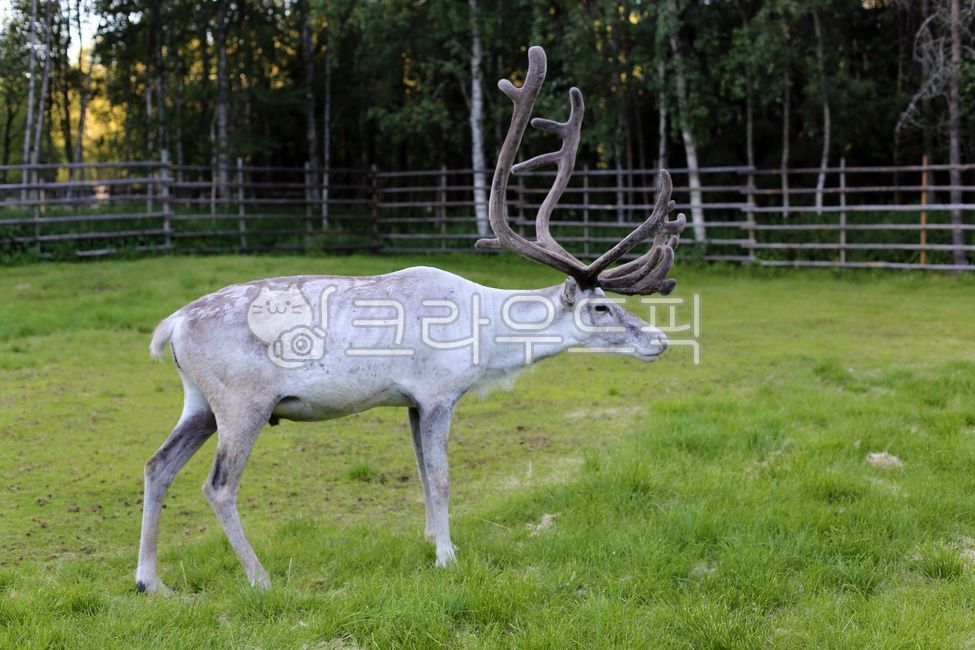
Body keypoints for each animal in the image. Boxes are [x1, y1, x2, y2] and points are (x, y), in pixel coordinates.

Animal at [135, 45, 686, 594]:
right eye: (600, 307)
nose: (658, 340)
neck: (488, 340)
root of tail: (172, 325)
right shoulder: (439, 391)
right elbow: (441, 476)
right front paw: (447, 557)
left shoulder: (411, 402)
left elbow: (421, 474)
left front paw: (430, 542)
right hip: (241, 402)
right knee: (218, 485)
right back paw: (260, 578)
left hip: (199, 402)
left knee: (157, 465)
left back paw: (150, 582)